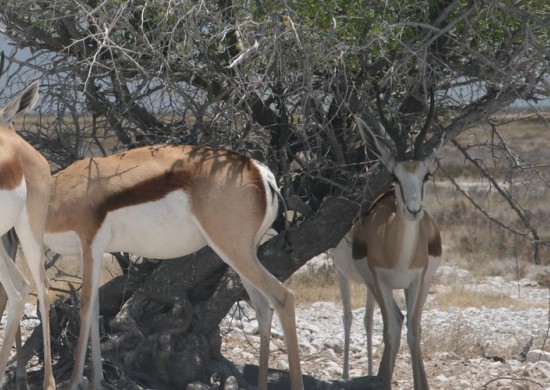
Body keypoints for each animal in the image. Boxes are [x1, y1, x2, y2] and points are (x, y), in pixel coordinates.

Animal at [43, 145, 306, 390]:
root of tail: (259, 171)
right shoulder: (85, 253)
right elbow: (94, 308)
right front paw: (96, 380)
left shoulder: (91, 246)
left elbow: (85, 306)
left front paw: (74, 381)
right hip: (243, 256)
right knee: (263, 308)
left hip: (234, 251)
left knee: (284, 297)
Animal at [332, 133, 444, 388]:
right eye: (395, 176)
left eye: (426, 175)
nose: (414, 210)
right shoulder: (378, 279)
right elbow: (389, 329)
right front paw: (380, 379)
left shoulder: (417, 280)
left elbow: (413, 331)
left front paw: (420, 384)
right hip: (358, 279)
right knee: (358, 317)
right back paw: (357, 375)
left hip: (415, 285)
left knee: (402, 320)